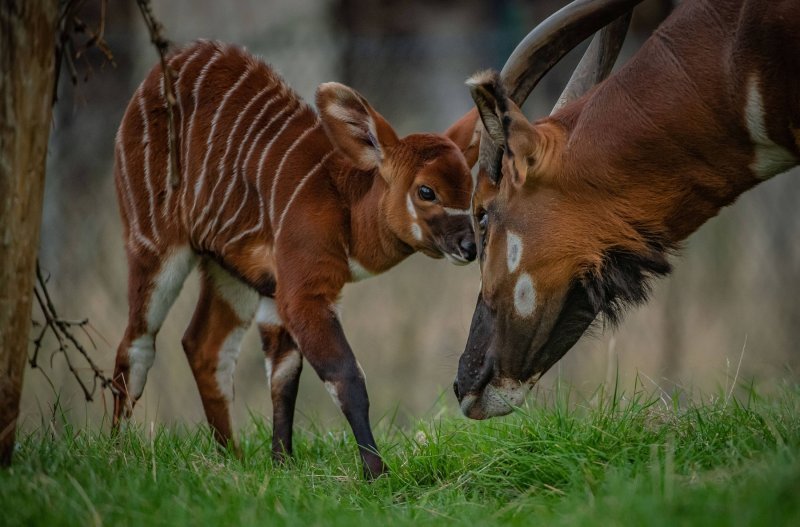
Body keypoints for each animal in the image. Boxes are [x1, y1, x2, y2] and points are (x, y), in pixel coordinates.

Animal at [109, 41, 478, 478]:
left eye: (470, 186)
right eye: (426, 191)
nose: (470, 246)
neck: (345, 205)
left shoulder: (276, 291)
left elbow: (284, 377)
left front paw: (281, 463)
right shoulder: (303, 292)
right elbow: (345, 376)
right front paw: (376, 472)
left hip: (226, 272)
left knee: (204, 347)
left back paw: (230, 459)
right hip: (153, 245)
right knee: (136, 345)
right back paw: (115, 453)